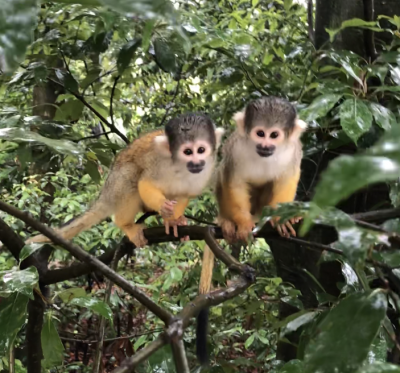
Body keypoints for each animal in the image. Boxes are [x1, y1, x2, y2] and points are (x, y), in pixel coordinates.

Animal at [26, 113, 223, 247]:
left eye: (201, 150)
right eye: (187, 152)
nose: (197, 162)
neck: (182, 167)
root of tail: (105, 194)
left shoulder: (208, 169)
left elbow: (186, 194)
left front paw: (174, 220)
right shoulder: (158, 163)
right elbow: (144, 182)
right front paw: (165, 209)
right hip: (114, 185)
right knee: (130, 175)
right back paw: (126, 224)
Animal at [196, 95, 306, 364]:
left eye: (274, 135)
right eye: (259, 133)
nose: (265, 144)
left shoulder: (294, 150)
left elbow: (287, 177)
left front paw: (281, 218)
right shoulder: (236, 148)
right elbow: (233, 179)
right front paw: (242, 225)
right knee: (222, 173)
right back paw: (228, 221)